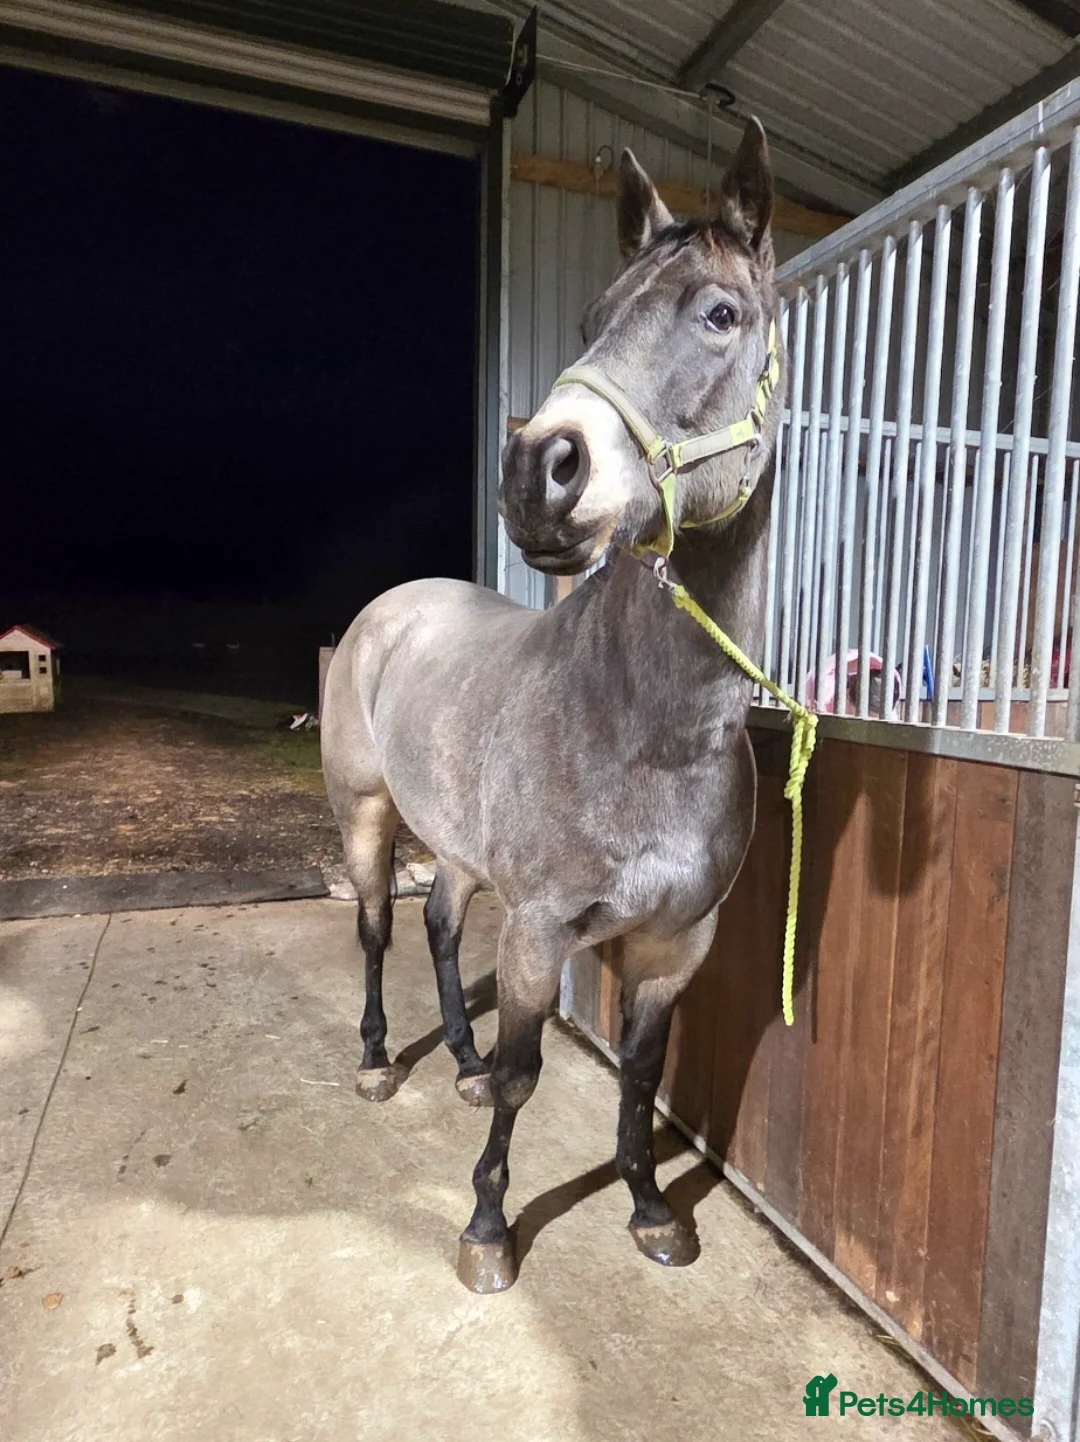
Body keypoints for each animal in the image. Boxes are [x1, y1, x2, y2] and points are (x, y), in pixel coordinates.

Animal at [320, 117, 785, 1294]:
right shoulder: (538, 931)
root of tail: (392, 607)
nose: (539, 469)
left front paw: (651, 1208)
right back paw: (381, 1060)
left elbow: (641, 1075)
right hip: (366, 816)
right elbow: (532, 1076)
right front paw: (489, 1226)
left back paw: (459, 1059)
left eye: (721, 314)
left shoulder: (675, 945)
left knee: (440, 926)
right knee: (377, 928)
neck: (653, 735)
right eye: (590, 321)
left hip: (457, 844)